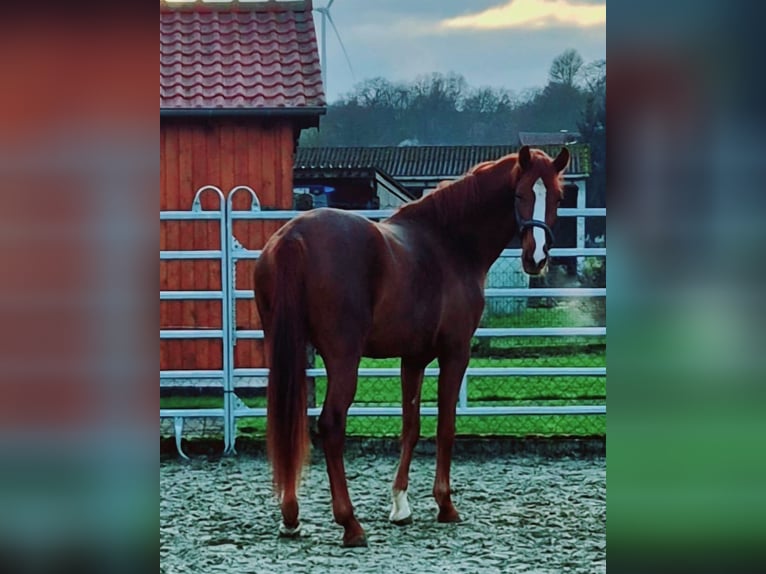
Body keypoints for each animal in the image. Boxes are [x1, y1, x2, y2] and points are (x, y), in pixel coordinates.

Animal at [254, 145, 568, 548]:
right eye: (519, 194)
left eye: (557, 197)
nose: (537, 258)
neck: (448, 243)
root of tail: (294, 236)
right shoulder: (455, 353)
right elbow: (446, 426)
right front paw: (445, 505)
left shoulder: (413, 358)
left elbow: (411, 425)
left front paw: (400, 505)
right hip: (343, 358)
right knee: (331, 424)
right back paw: (350, 524)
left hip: (284, 350)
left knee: (286, 421)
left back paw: (291, 518)